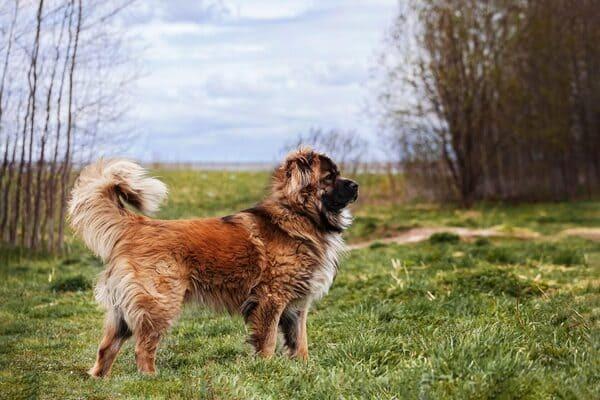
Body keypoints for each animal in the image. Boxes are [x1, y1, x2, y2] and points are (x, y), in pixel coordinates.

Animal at [67, 146, 356, 376]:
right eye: (330, 177)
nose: (356, 185)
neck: (299, 214)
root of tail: (137, 225)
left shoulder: (296, 305)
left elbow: (300, 343)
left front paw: (304, 369)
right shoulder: (271, 300)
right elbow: (268, 342)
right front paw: (265, 369)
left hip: (123, 312)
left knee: (106, 348)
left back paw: (100, 380)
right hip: (159, 303)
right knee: (142, 348)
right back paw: (150, 378)